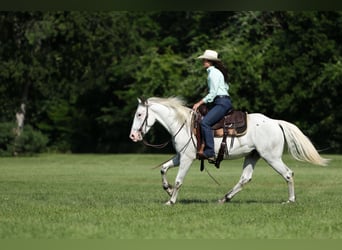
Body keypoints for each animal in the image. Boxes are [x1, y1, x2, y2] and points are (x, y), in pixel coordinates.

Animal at [129, 96, 328, 205]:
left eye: (139, 114)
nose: (133, 136)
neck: (183, 124)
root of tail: (275, 122)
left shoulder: (186, 158)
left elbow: (179, 180)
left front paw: (171, 200)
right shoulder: (181, 156)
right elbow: (163, 169)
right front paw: (168, 190)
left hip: (271, 157)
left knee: (288, 174)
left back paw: (290, 200)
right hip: (253, 156)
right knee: (245, 178)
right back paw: (224, 198)